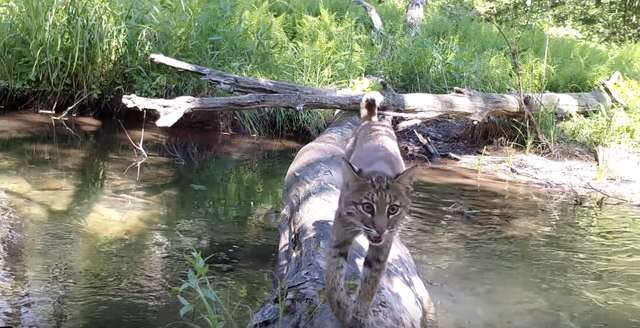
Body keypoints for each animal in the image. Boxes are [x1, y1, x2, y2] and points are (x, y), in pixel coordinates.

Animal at [324, 91, 420, 326]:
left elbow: (370, 283)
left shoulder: (384, 245)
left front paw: (359, 316)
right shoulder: (342, 230)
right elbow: (333, 277)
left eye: (393, 209)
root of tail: (374, 121)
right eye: (367, 207)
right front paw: (342, 310)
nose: (380, 230)